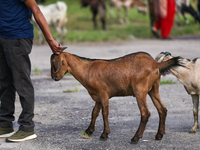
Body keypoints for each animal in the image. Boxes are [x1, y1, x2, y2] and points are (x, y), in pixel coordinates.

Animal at [51, 49, 183, 144]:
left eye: (54, 63)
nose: (54, 77)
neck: (88, 70)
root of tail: (155, 64)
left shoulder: (103, 94)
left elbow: (104, 113)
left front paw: (104, 134)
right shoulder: (98, 97)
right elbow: (94, 113)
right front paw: (89, 131)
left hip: (140, 90)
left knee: (145, 113)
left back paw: (136, 138)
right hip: (153, 89)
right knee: (162, 109)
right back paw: (159, 135)